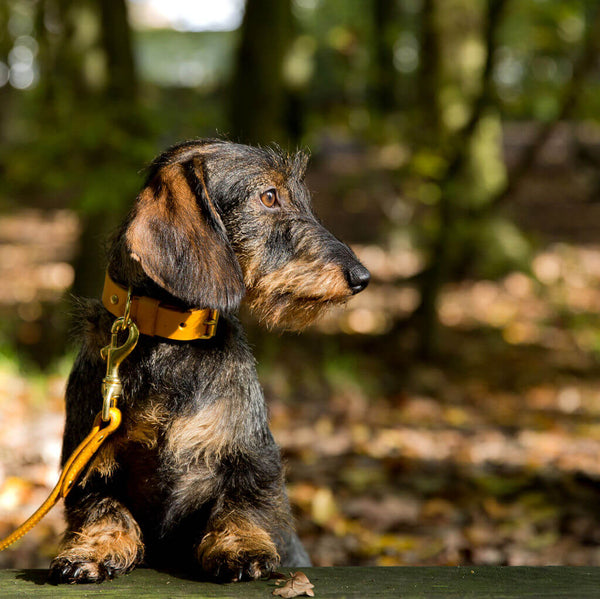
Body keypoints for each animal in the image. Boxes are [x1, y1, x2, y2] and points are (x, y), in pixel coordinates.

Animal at [50, 138, 370, 584]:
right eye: (268, 197)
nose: (362, 277)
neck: (171, 341)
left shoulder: (252, 456)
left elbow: (243, 502)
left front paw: (240, 547)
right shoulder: (88, 464)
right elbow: (104, 509)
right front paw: (93, 550)